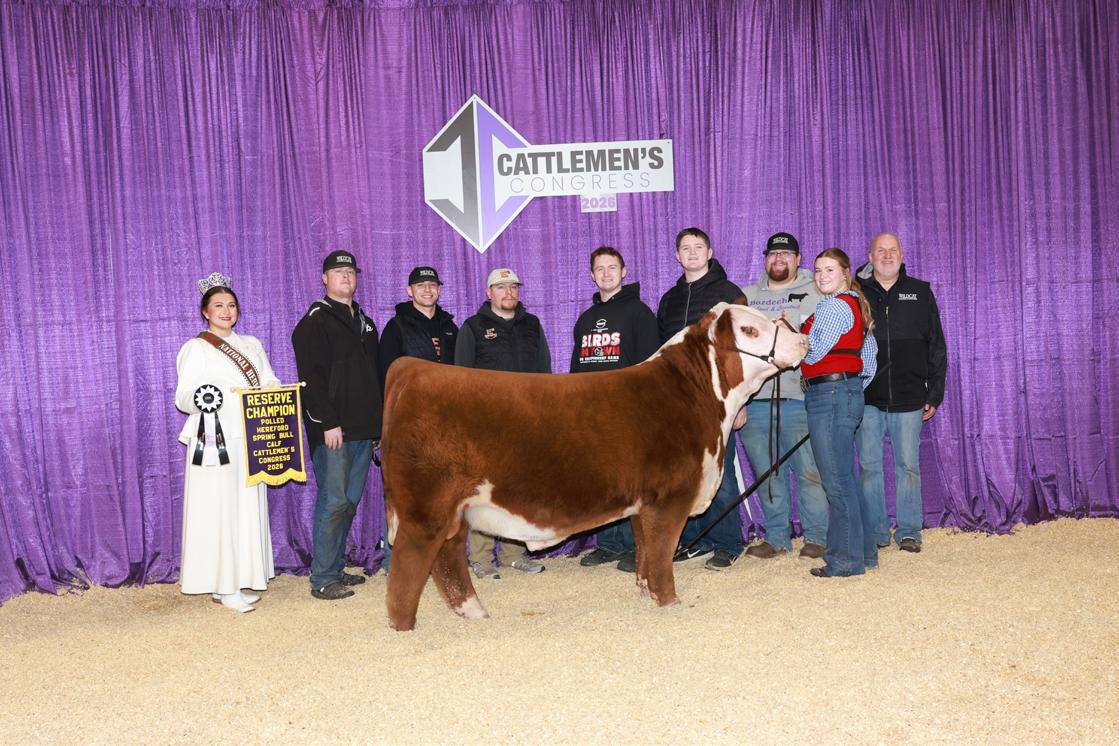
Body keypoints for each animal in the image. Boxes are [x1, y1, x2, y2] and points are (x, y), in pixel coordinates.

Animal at [380, 302, 807, 630]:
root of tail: (412, 368)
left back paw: (473, 612)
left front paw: (645, 593)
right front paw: (669, 602)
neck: (697, 398)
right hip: (426, 509)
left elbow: (645, 551)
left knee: (447, 557)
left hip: (451, 510)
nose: (802, 339)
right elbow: (662, 553)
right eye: (749, 329)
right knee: (409, 566)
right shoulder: (670, 498)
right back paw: (404, 629)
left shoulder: (643, 503)